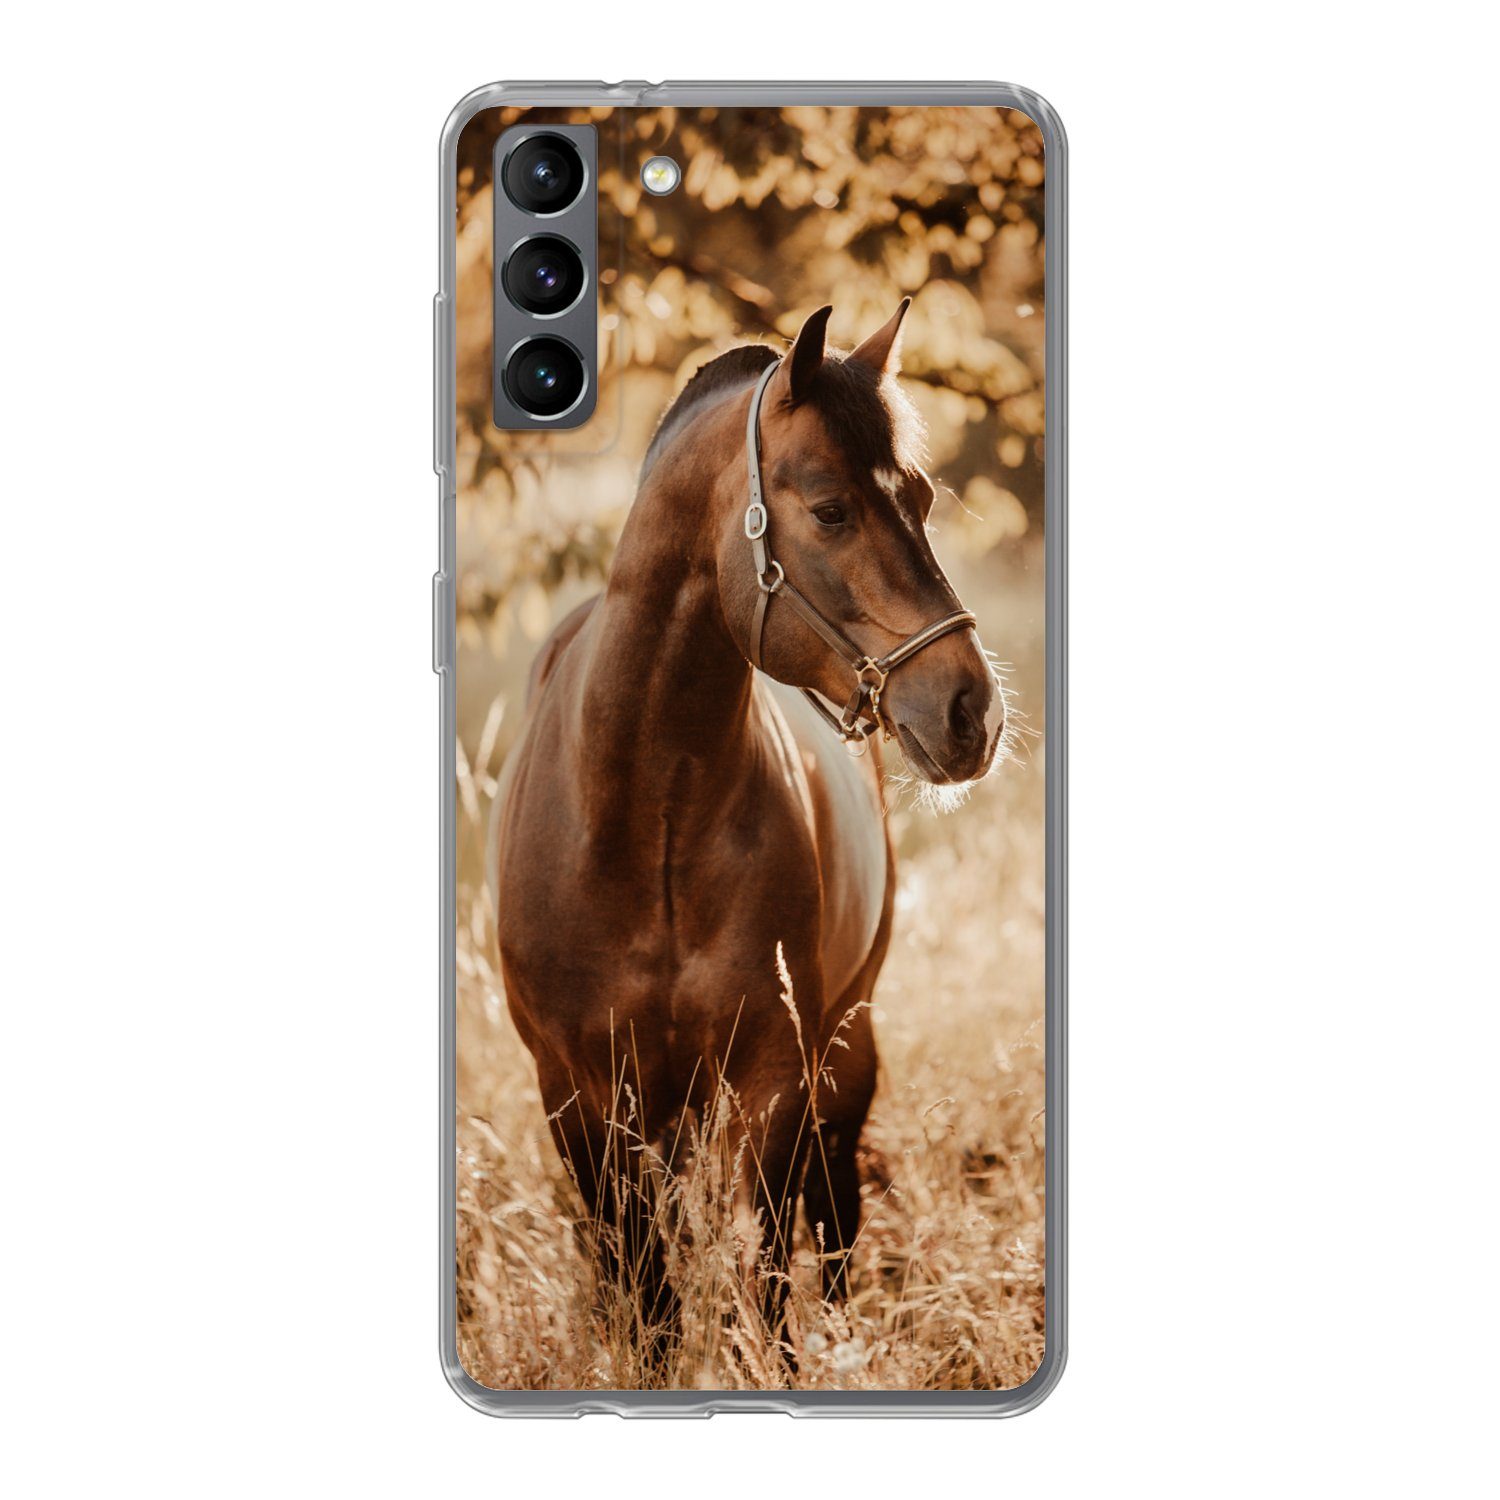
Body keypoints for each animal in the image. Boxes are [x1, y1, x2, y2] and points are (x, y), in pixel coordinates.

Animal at [489, 300, 1007, 1364]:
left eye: (922, 496)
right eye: (831, 510)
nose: (973, 711)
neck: (641, 819)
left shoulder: (773, 1081)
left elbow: (766, 1284)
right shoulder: (579, 1097)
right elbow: (647, 1301)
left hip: (844, 1054)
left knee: (835, 1225)